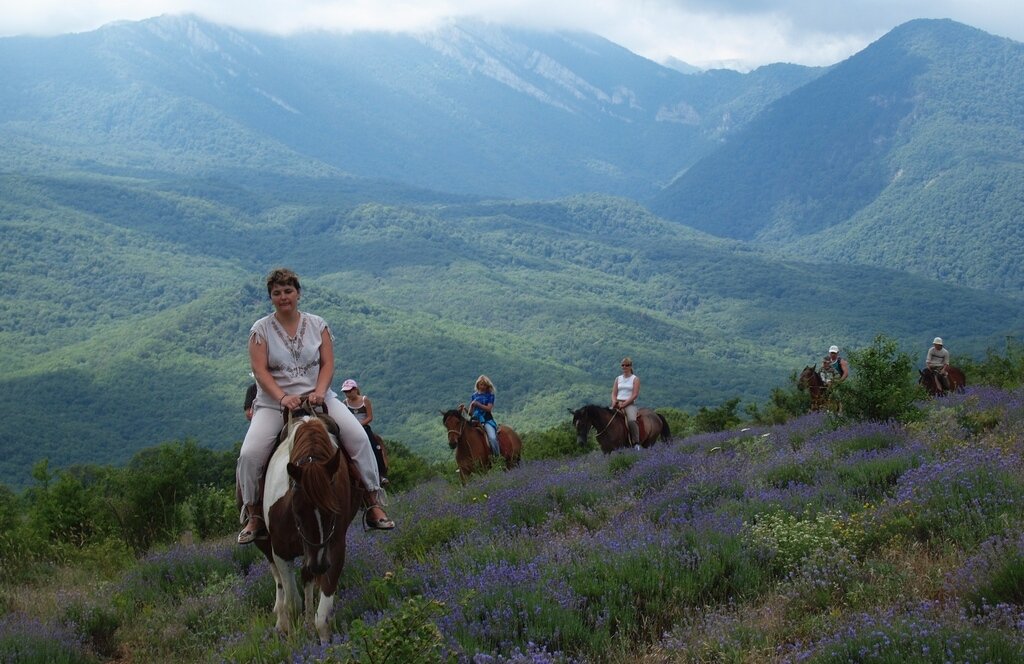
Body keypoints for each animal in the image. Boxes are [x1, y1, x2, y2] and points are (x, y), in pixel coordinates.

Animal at [256, 403, 360, 643]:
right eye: (297, 509)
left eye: (334, 509)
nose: (320, 565)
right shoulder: (281, 550)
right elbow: (293, 603)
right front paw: (293, 639)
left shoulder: (334, 546)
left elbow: (323, 611)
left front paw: (324, 642)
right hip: (267, 545)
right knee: (280, 582)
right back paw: (281, 622)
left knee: (307, 579)